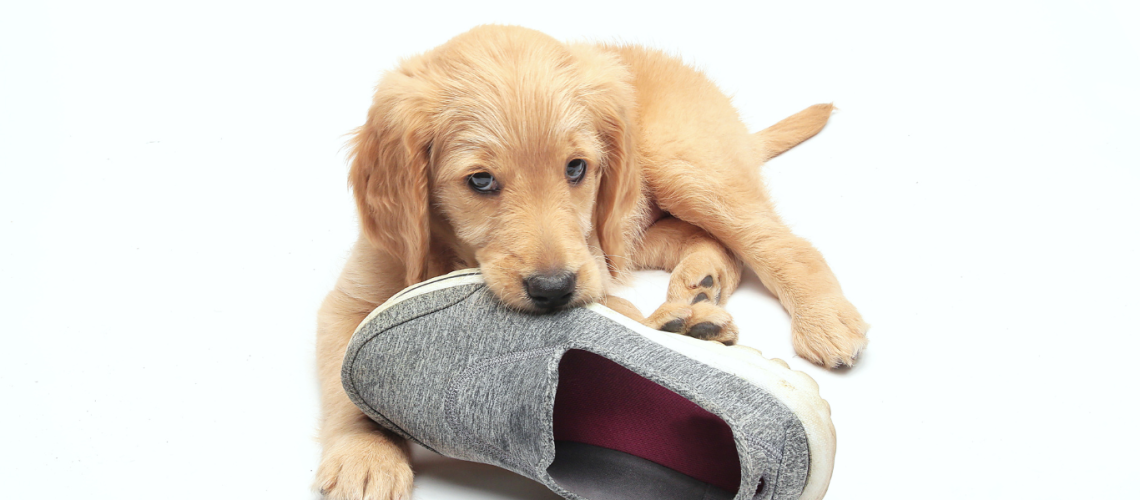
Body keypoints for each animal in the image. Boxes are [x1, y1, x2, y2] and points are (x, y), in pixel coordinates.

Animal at [312, 26, 861, 500]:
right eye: (480, 181)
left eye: (576, 168)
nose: (553, 289)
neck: (455, 255)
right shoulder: (356, 293)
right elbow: (342, 380)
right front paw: (366, 457)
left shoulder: (592, 269)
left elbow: (618, 314)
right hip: (632, 224)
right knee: (708, 243)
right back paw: (698, 292)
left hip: (682, 168)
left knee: (775, 242)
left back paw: (814, 319)